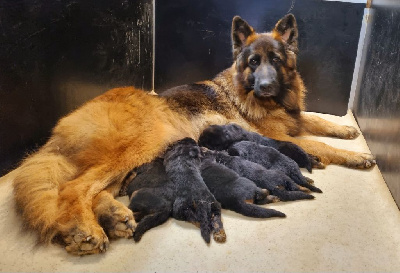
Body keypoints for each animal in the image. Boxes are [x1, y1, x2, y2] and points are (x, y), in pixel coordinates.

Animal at [11, 14, 376, 253]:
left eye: (275, 60)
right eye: (253, 62)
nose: (265, 86)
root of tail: (60, 130)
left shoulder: (294, 119)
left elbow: (317, 122)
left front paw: (346, 129)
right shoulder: (282, 135)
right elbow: (315, 141)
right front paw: (355, 156)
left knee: (96, 189)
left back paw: (112, 217)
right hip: (145, 143)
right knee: (74, 188)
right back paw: (83, 228)